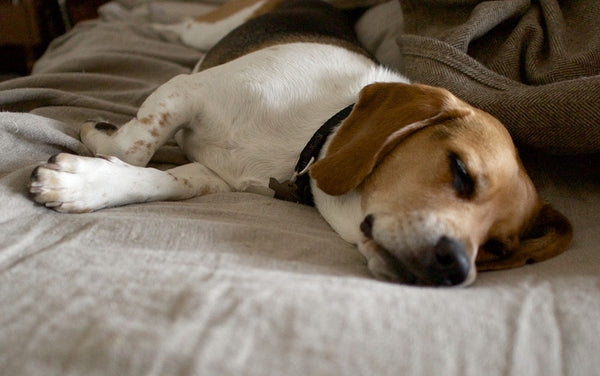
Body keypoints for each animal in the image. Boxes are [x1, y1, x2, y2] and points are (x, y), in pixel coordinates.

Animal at [29, 0, 572, 284]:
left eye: (498, 247)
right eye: (460, 172)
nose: (456, 267)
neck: (309, 138)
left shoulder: (212, 175)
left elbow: (160, 179)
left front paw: (84, 184)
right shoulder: (186, 90)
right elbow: (134, 147)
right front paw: (97, 140)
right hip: (206, 31)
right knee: (178, 26)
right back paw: (134, 19)